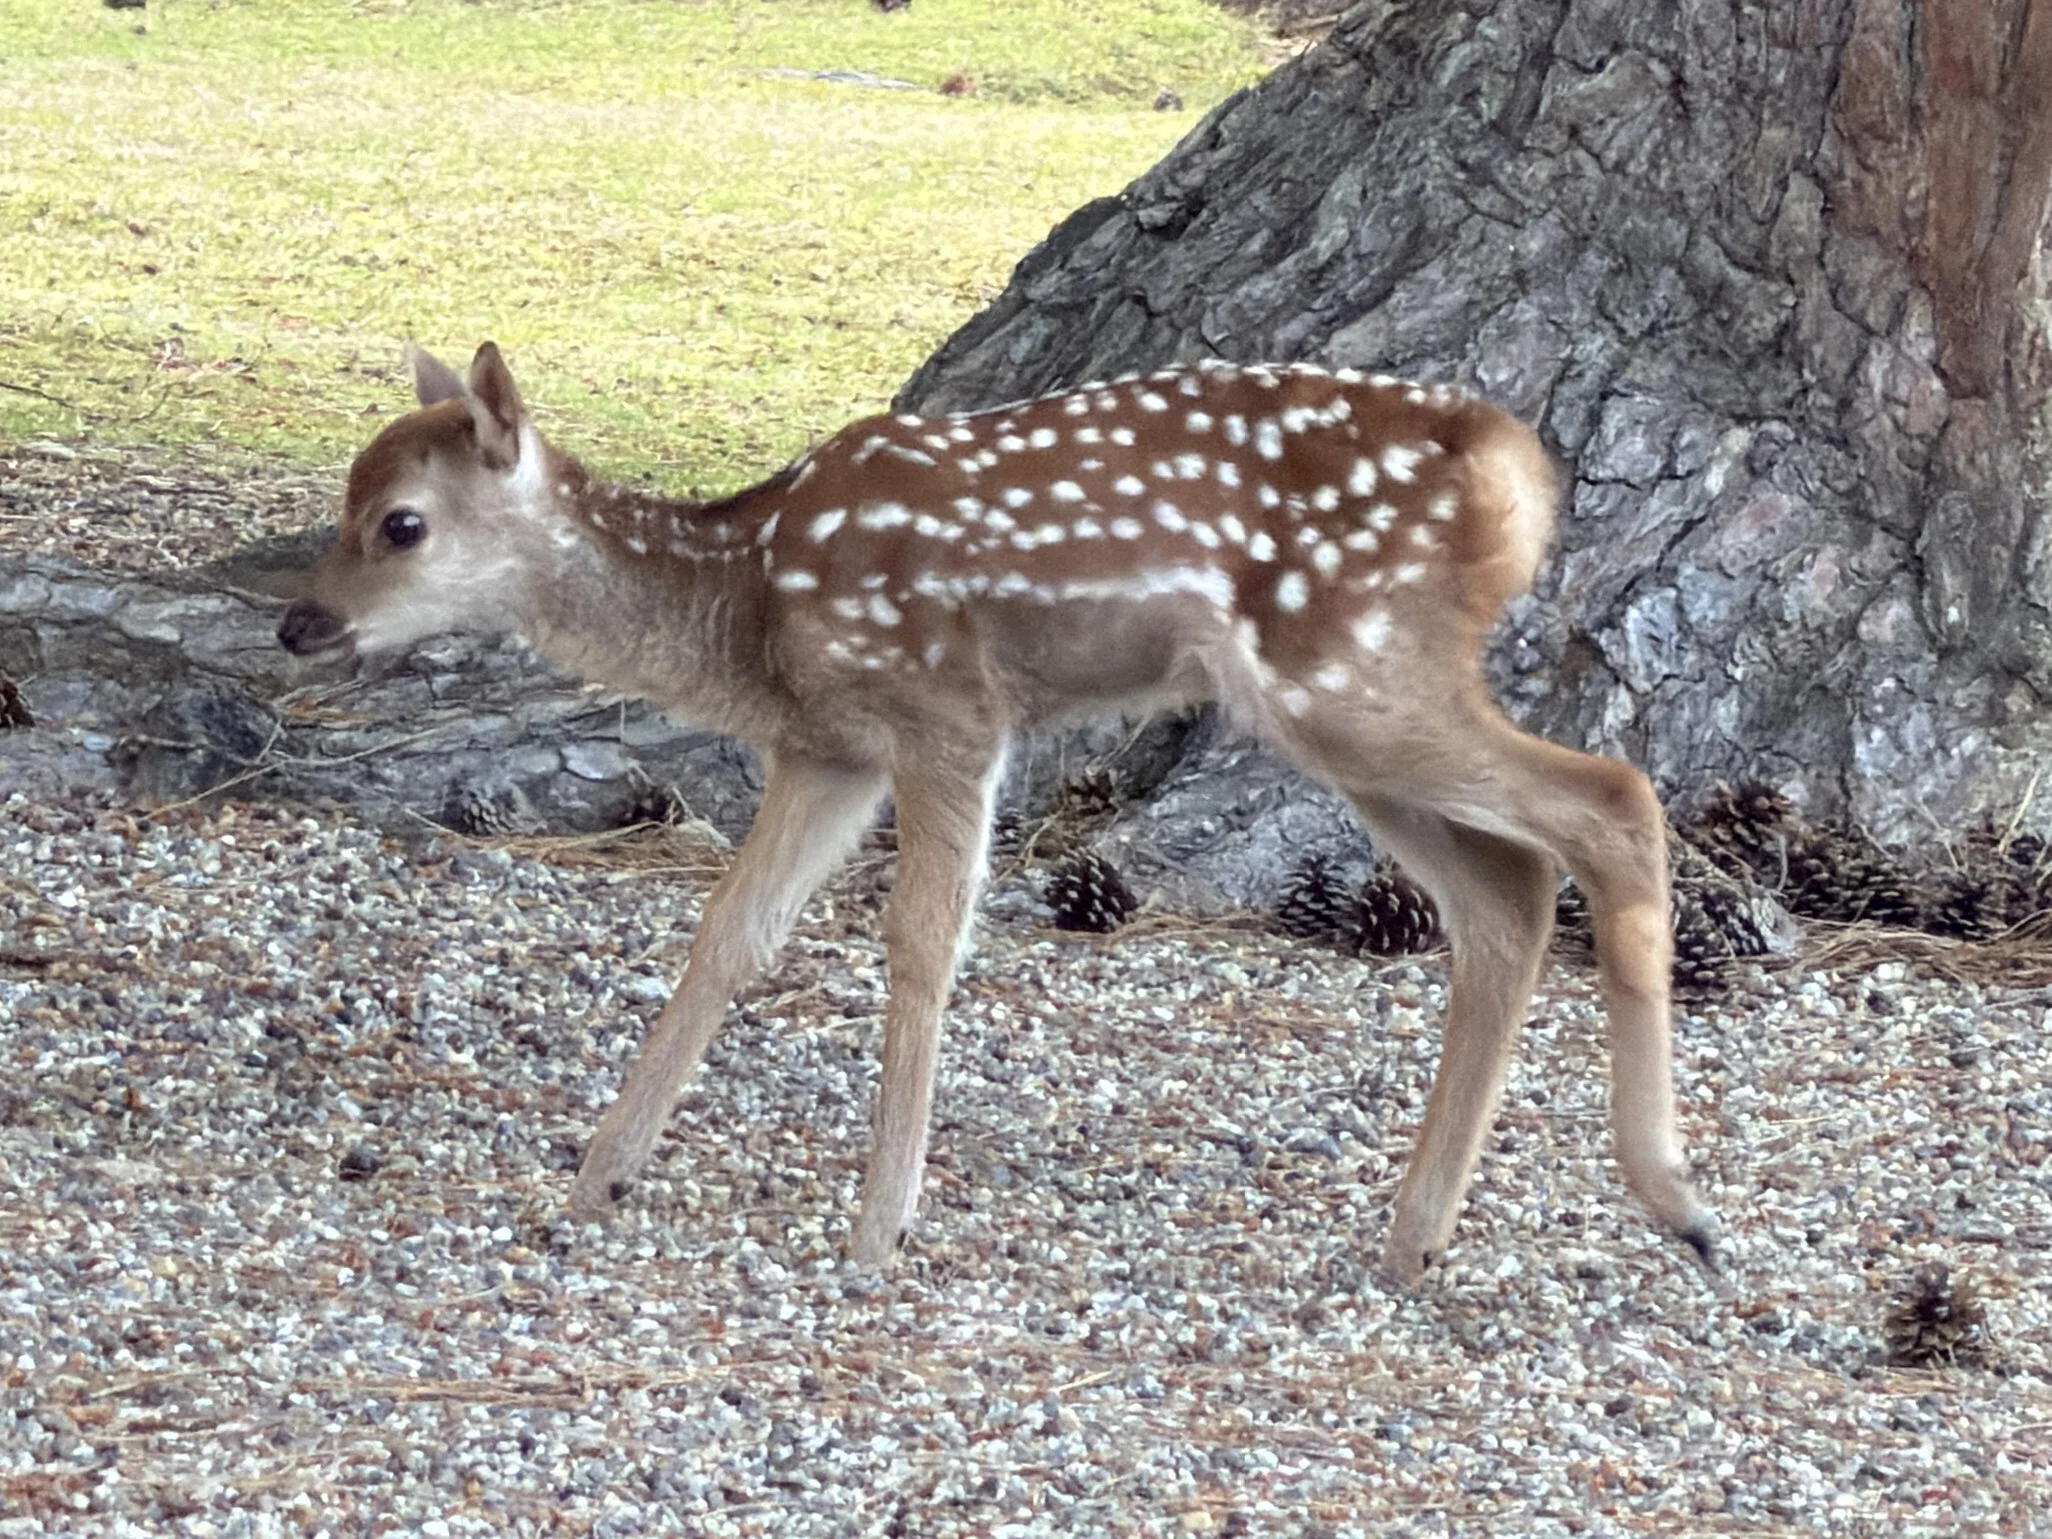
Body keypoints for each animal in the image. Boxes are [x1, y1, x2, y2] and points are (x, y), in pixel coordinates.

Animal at [278, 342, 1719, 1286]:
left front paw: (877, 1229)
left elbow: (921, 944)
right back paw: (1418, 1239)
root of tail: (1515, 474)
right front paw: (596, 1178)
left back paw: (1676, 1201)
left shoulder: (949, 713)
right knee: (1507, 894)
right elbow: (730, 934)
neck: (752, 603)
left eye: (400, 523)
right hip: (1338, 709)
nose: (300, 624)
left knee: (1614, 799)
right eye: (345, 505)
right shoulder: (826, 749)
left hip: (1353, 672)